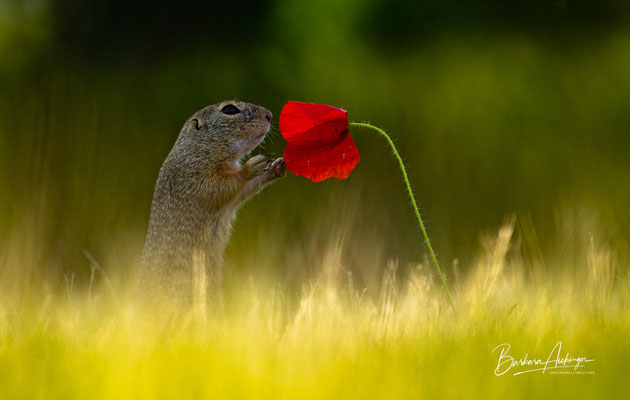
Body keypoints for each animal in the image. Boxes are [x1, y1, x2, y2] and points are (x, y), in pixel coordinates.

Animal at [142, 100, 288, 306]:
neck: (199, 149)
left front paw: (276, 167)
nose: (269, 115)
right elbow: (223, 186)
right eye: (229, 109)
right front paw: (251, 167)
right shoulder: (197, 177)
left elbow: (245, 189)